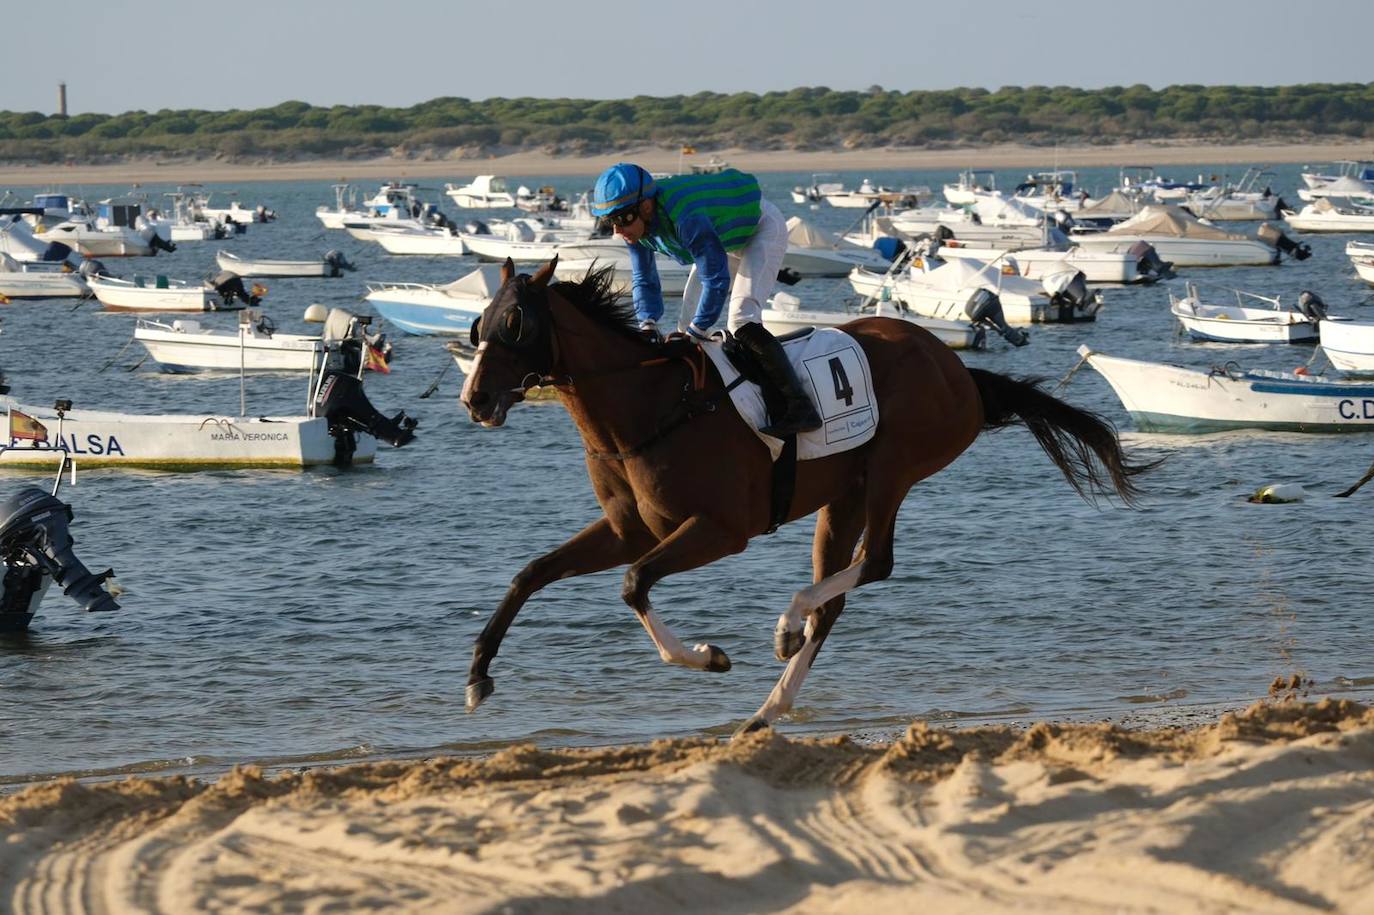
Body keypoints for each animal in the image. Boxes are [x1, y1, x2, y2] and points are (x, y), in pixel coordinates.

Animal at [459, 258, 1151, 735]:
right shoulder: (632, 529)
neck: (648, 410)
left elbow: (633, 584)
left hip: (894, 467)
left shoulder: (720, 530)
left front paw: (709, 656)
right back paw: (769, 706)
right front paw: (477, 677)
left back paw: (784, 628)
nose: (475, 398)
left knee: (875, 564)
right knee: (838, 595)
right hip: (842, 496)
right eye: (478, 323)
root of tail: (957, 368)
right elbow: (531, 574)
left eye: (515, 323)